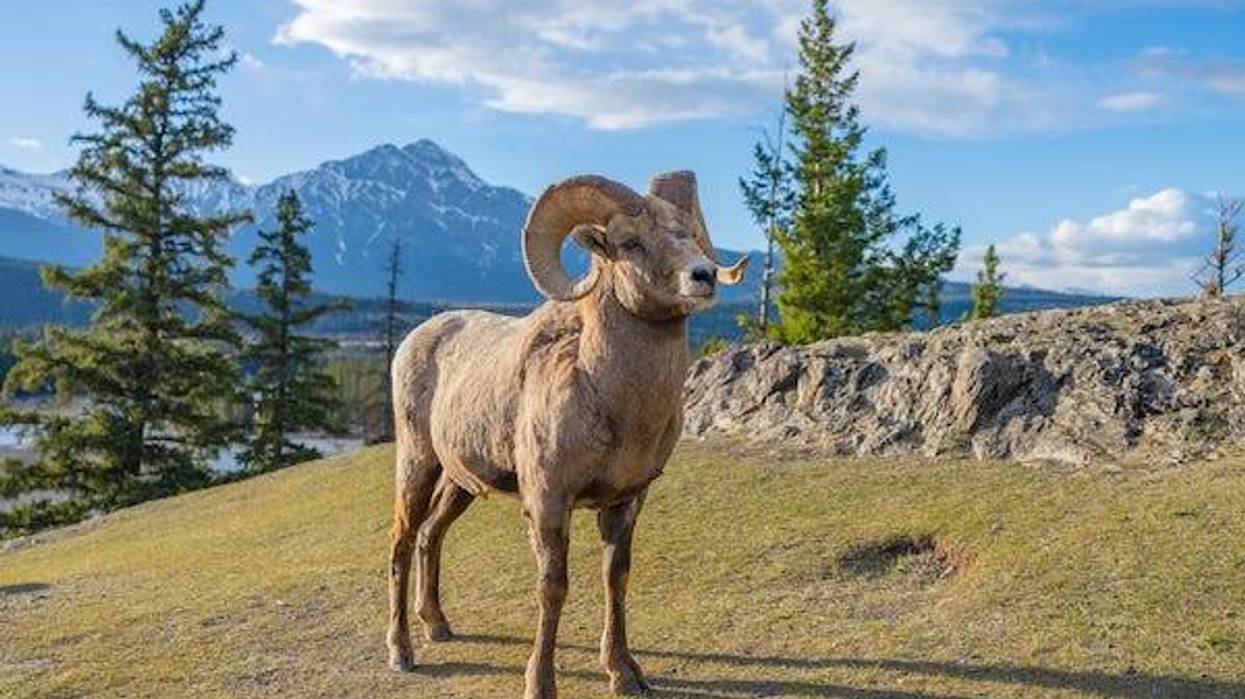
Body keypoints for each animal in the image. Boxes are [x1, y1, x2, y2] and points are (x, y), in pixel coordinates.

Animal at [385, 171, 747, 698]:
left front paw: (624, 673)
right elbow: (552, 587)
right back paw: (402, 652)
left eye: (686, 233)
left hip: (461, 483)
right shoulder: (548, 501)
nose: (702, 276)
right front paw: (540, 684)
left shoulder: (625, 502)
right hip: (418, 463)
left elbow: (616, 578)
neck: (612, 402)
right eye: (629, 243)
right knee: (403, 540)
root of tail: (414, 340)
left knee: (432, 534)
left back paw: (438, 625)